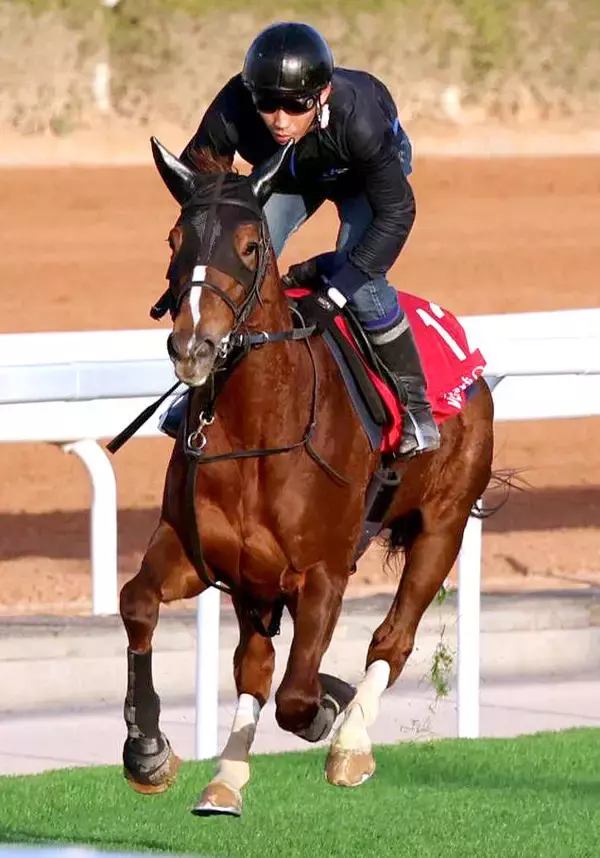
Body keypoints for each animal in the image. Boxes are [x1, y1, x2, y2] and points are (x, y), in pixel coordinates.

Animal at [118, 137, 494, 817]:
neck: (256, 429)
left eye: (249, 245)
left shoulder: (322, 571)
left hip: (443, 525)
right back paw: (225, 780)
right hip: (255, 584)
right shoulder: (202, 553)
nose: (193, 347)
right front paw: (148, 752)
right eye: (174, 238)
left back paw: (349, 743)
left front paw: (329, 710)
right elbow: (139, 603)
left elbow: (297, 698)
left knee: (391, 640)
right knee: (255, 664)